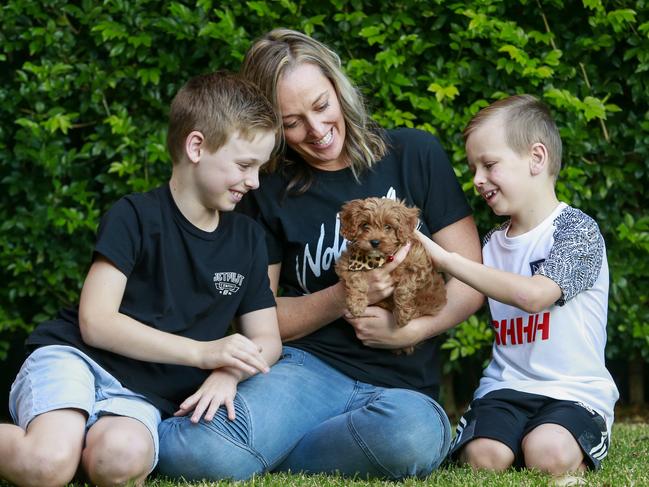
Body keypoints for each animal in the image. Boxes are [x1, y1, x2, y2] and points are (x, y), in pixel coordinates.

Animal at [334, 197, 446, 354]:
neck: (379, 259)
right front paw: (356, 305)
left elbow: (403, 289)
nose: (374, 242)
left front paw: (403, 316)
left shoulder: (419, 263)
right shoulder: (347, 263)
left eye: (388, 227)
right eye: (365, 225)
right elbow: (355, 278)